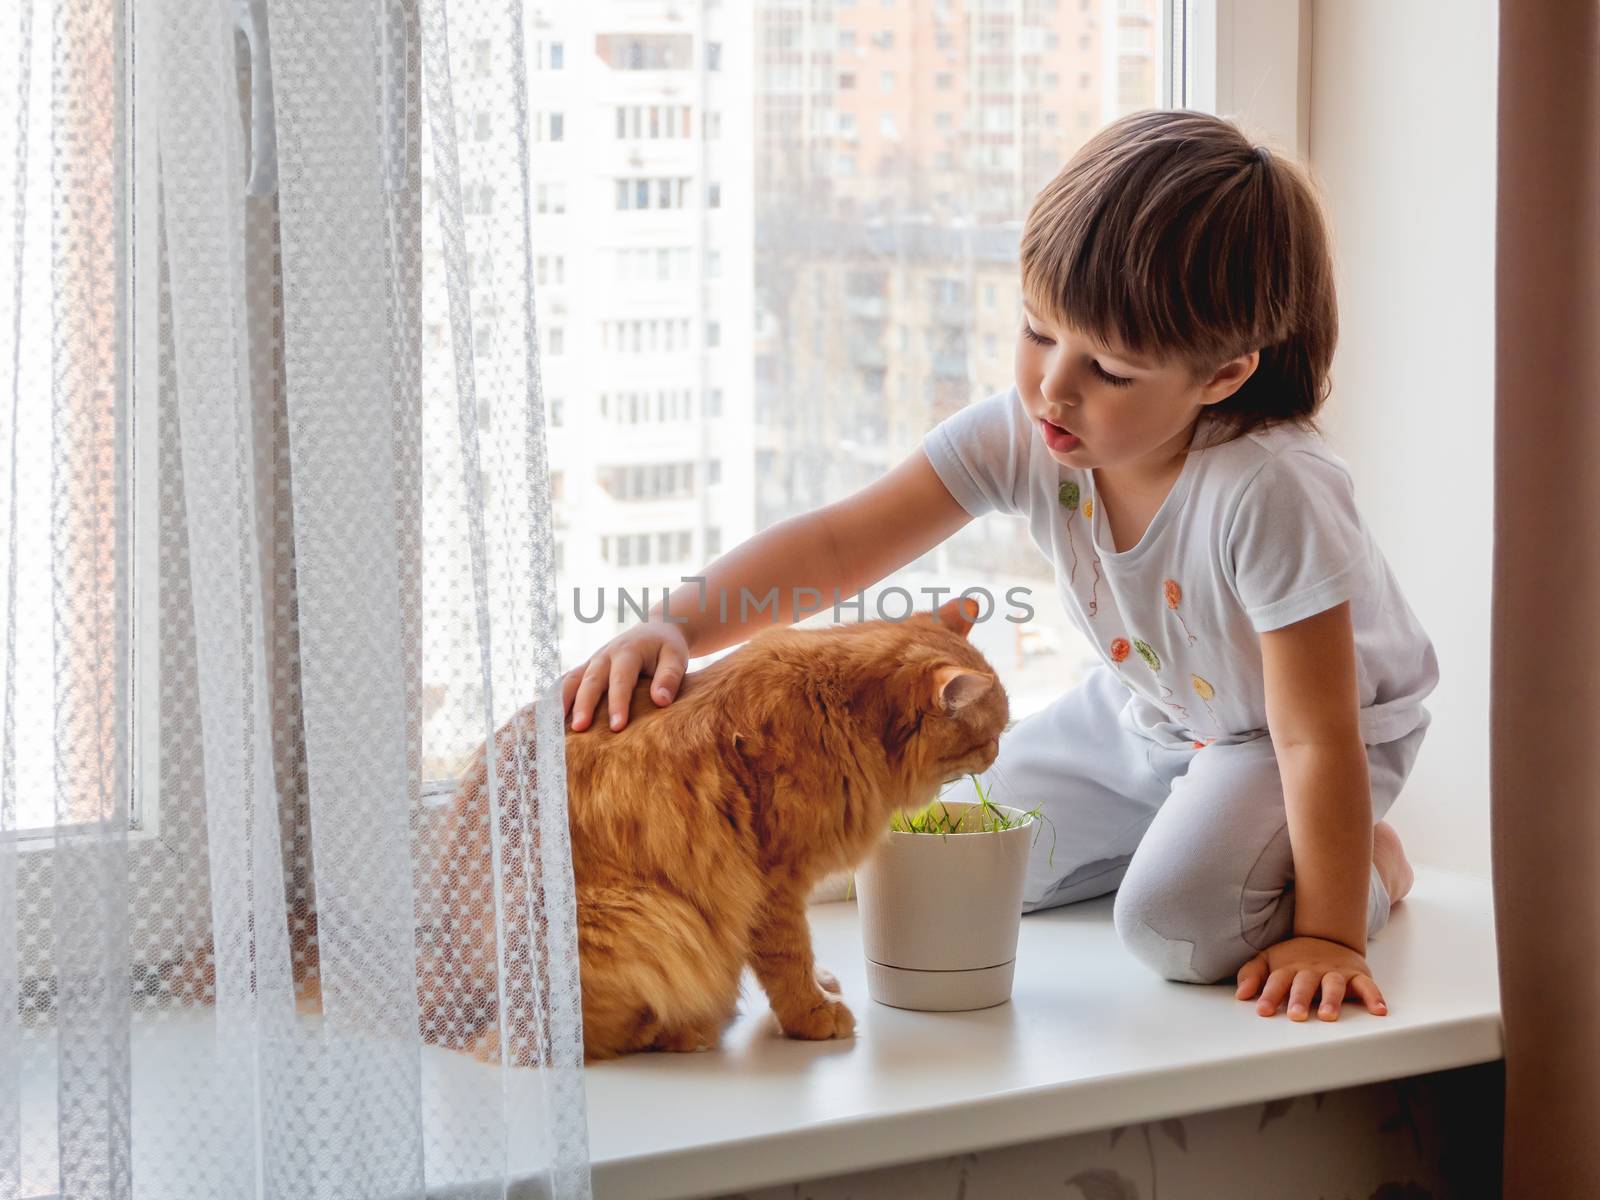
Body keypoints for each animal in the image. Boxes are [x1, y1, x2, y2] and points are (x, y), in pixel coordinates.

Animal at [432, 598, 1004, 1062]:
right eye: (989, 735)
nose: (998, 751)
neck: (837, 706)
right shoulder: (772, 880)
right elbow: (788, 957)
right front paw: (813, 1013)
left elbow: (796, 953)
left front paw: (820, 983)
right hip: (639, 917)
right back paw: (692, 1027)